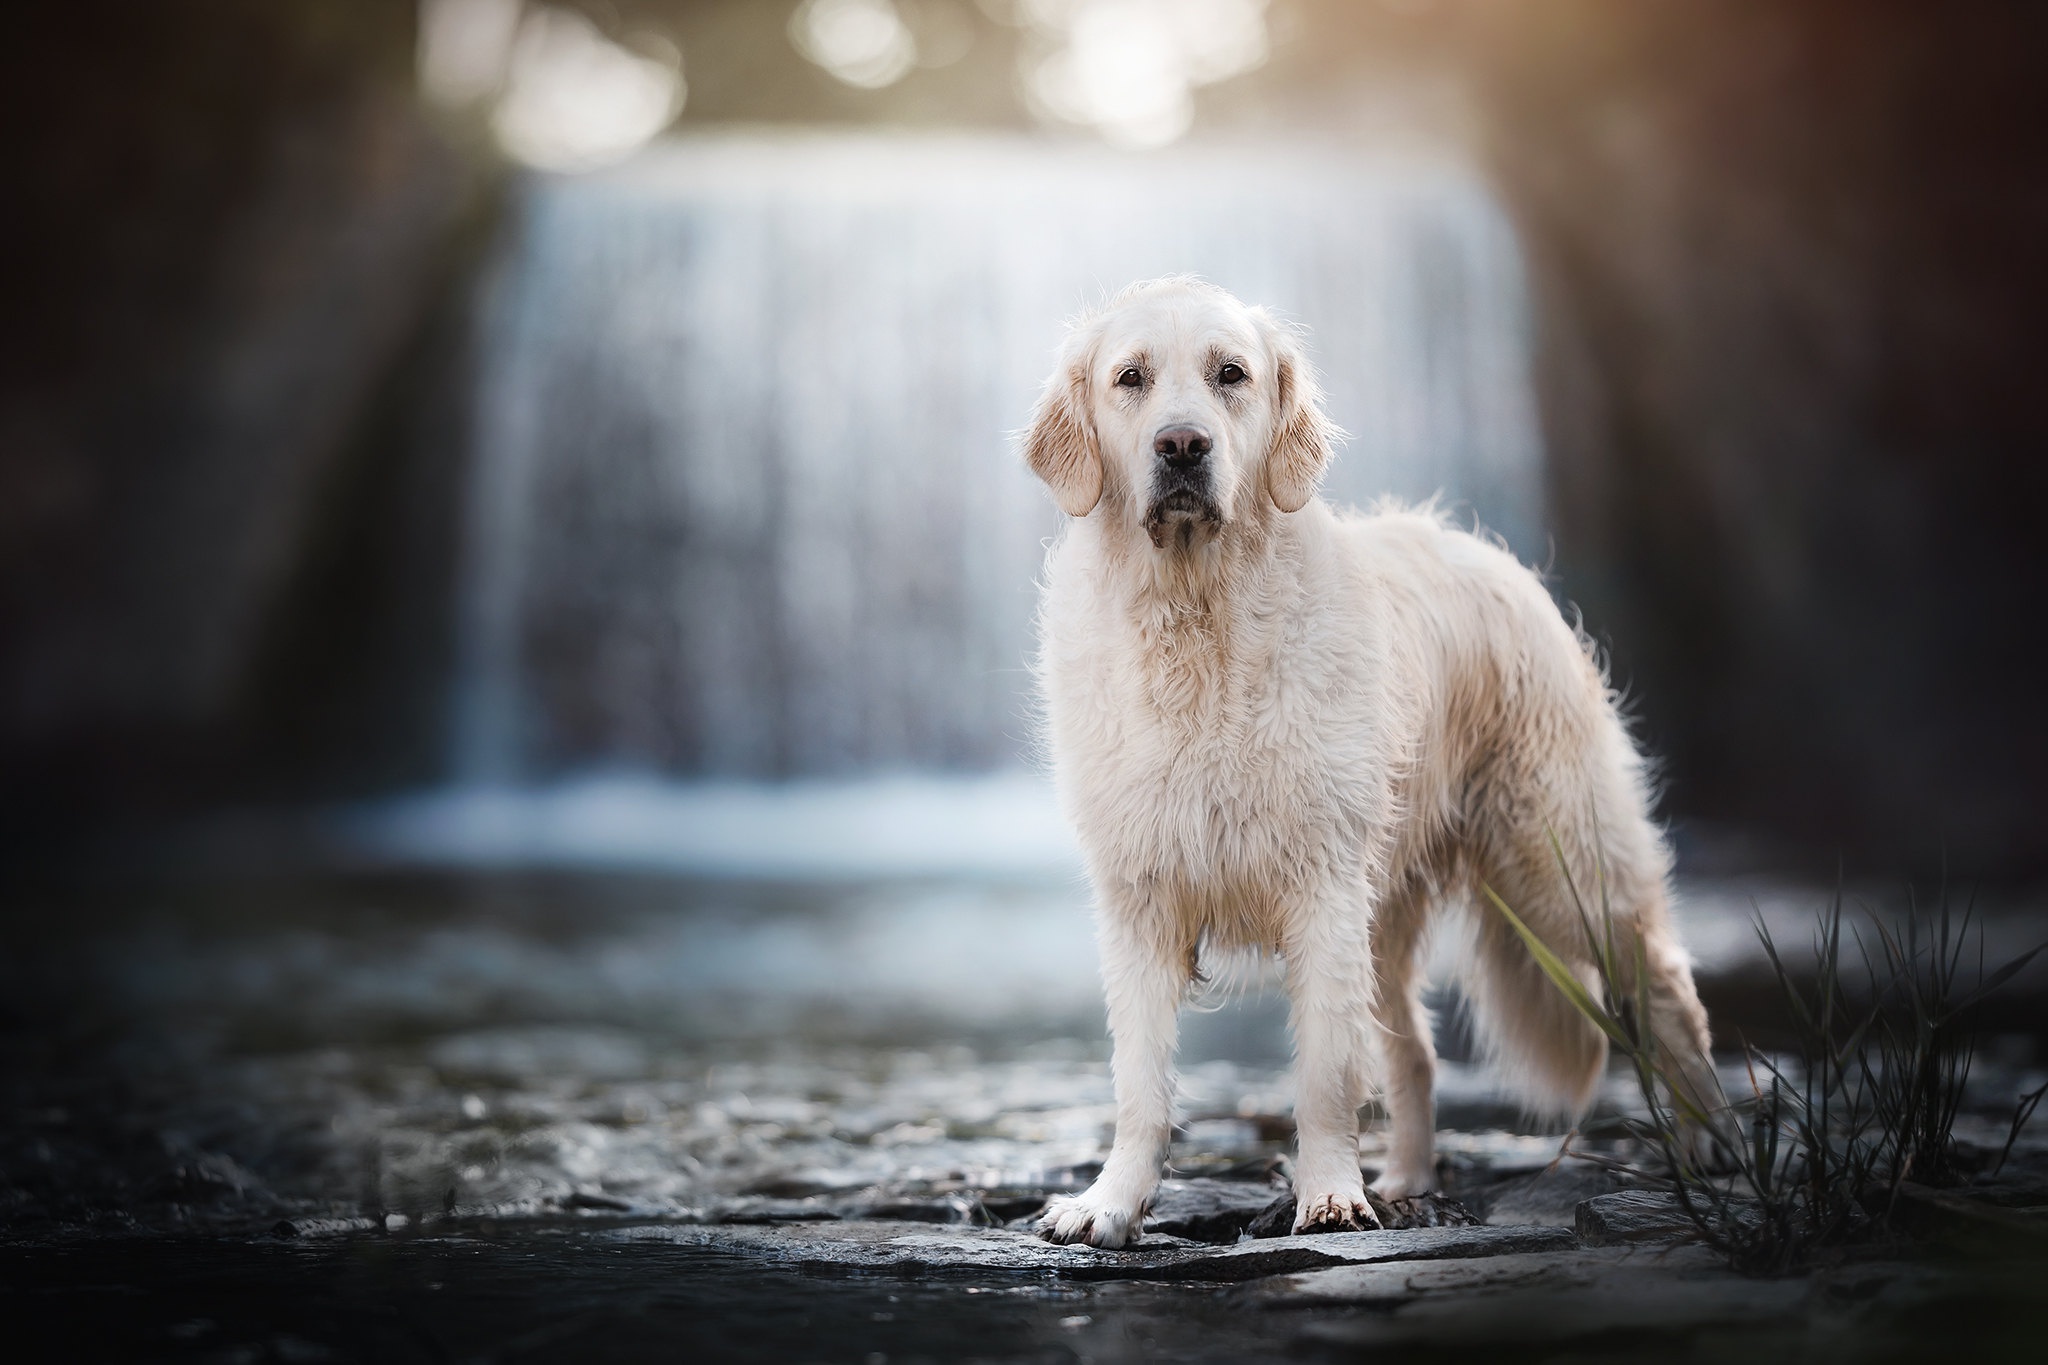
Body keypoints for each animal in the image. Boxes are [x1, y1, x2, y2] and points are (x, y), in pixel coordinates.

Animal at [1024, 278, 1712, 1252]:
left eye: (1230, 374)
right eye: (1130, 379)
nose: (1183, 445)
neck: (1199, 613)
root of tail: (1493, 554)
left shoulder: (1320, 889)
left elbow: (1323, 1074)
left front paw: (1330, 1197)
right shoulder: (1141, 897)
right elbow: (1140, 1082)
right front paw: (1110, 1203)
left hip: (1560, 866)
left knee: (1669, 990)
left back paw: (1712, 1146)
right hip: (1390, 912)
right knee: (1416, 1054)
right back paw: (1411, 1180)